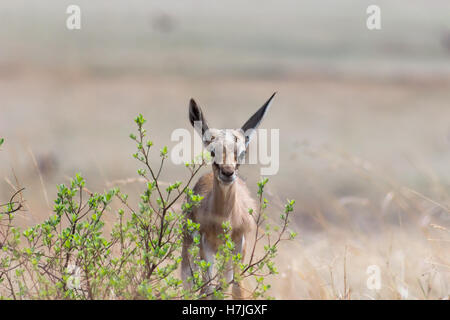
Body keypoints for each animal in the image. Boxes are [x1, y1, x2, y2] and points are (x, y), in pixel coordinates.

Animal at [181, 93, 276, 300]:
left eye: (241, 152)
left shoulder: (238, 245)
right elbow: (209, 288)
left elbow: (235, 287)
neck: (225, 219)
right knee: (190, 281)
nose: (227, 172)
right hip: (190, 246)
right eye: (212, 151)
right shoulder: (206, 246)